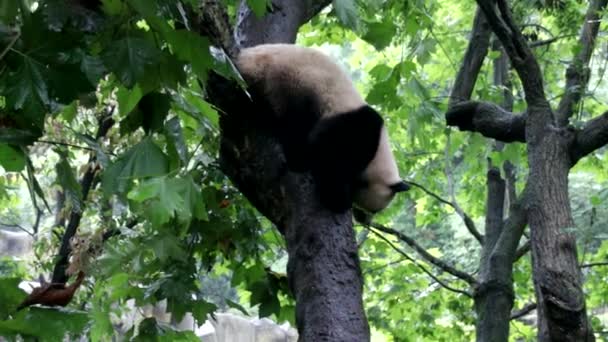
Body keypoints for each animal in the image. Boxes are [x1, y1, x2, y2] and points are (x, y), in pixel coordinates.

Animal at [235, 44, 410, 219]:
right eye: (373, 210)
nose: (364, 220)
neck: (379, 153)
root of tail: (244, 59)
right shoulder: (355, 130)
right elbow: (328, 157)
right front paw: (339, 200)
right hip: (288, 80)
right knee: (293, 121)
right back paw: (296, 159)